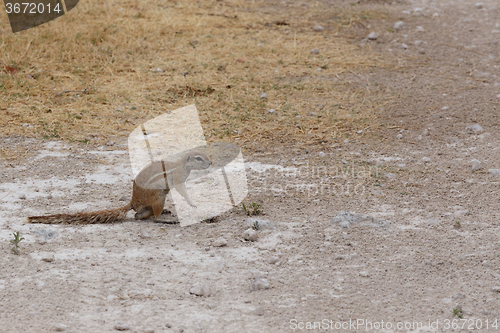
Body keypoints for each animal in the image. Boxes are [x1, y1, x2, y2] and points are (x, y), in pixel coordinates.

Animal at [23, 150, 211, 223]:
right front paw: (192, 203)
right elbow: (182, 191)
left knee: (139, 215)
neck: (183, 165)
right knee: (154, 217)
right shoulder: (178, 178)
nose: (210, 162)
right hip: (159, 196)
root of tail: (133, 201)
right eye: (198, 158)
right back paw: (166, 219)